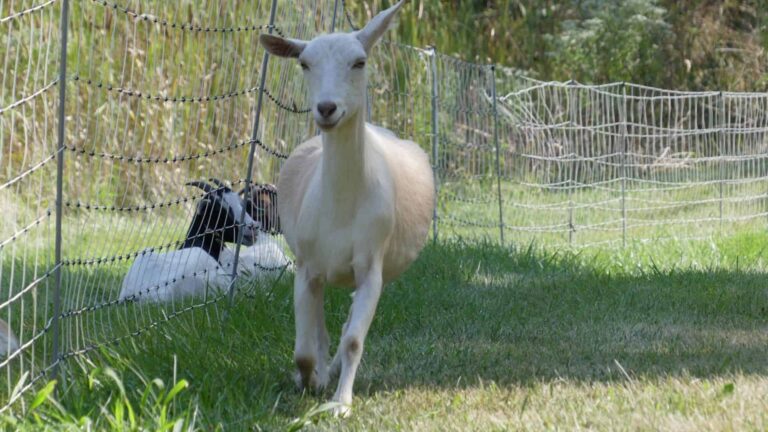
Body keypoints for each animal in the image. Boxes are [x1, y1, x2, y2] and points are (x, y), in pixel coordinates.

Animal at [260, 0, 434, 416]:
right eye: (304, 63)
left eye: (359, 62)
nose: (326, 108)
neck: (341, 207)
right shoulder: (306, 267)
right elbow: (304, 350)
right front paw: (311, 381)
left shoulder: (371, 266)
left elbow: (354, 338)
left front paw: (340, 402)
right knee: (320, 330)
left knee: (347, 325)